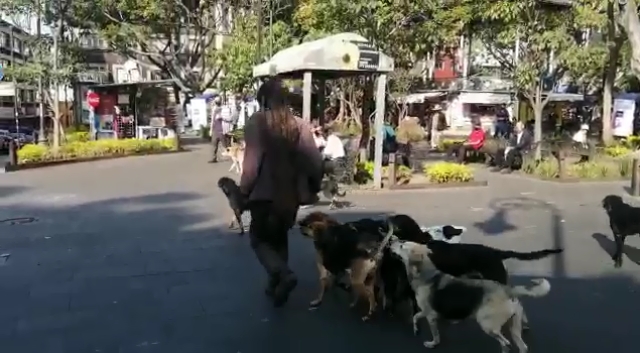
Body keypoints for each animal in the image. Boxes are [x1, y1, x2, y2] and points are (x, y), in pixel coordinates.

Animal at [388, 239, 552, 352]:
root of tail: (507, 290)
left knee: (505, 343)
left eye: (402, 245)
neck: (427, 273)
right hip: (514, 327)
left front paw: (432, 343)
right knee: (522, 346)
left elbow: (432, 332)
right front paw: (416, 329)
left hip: (487, 325)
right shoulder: (429, 312)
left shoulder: (430, 314)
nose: (391, 241)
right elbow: (416, 317)